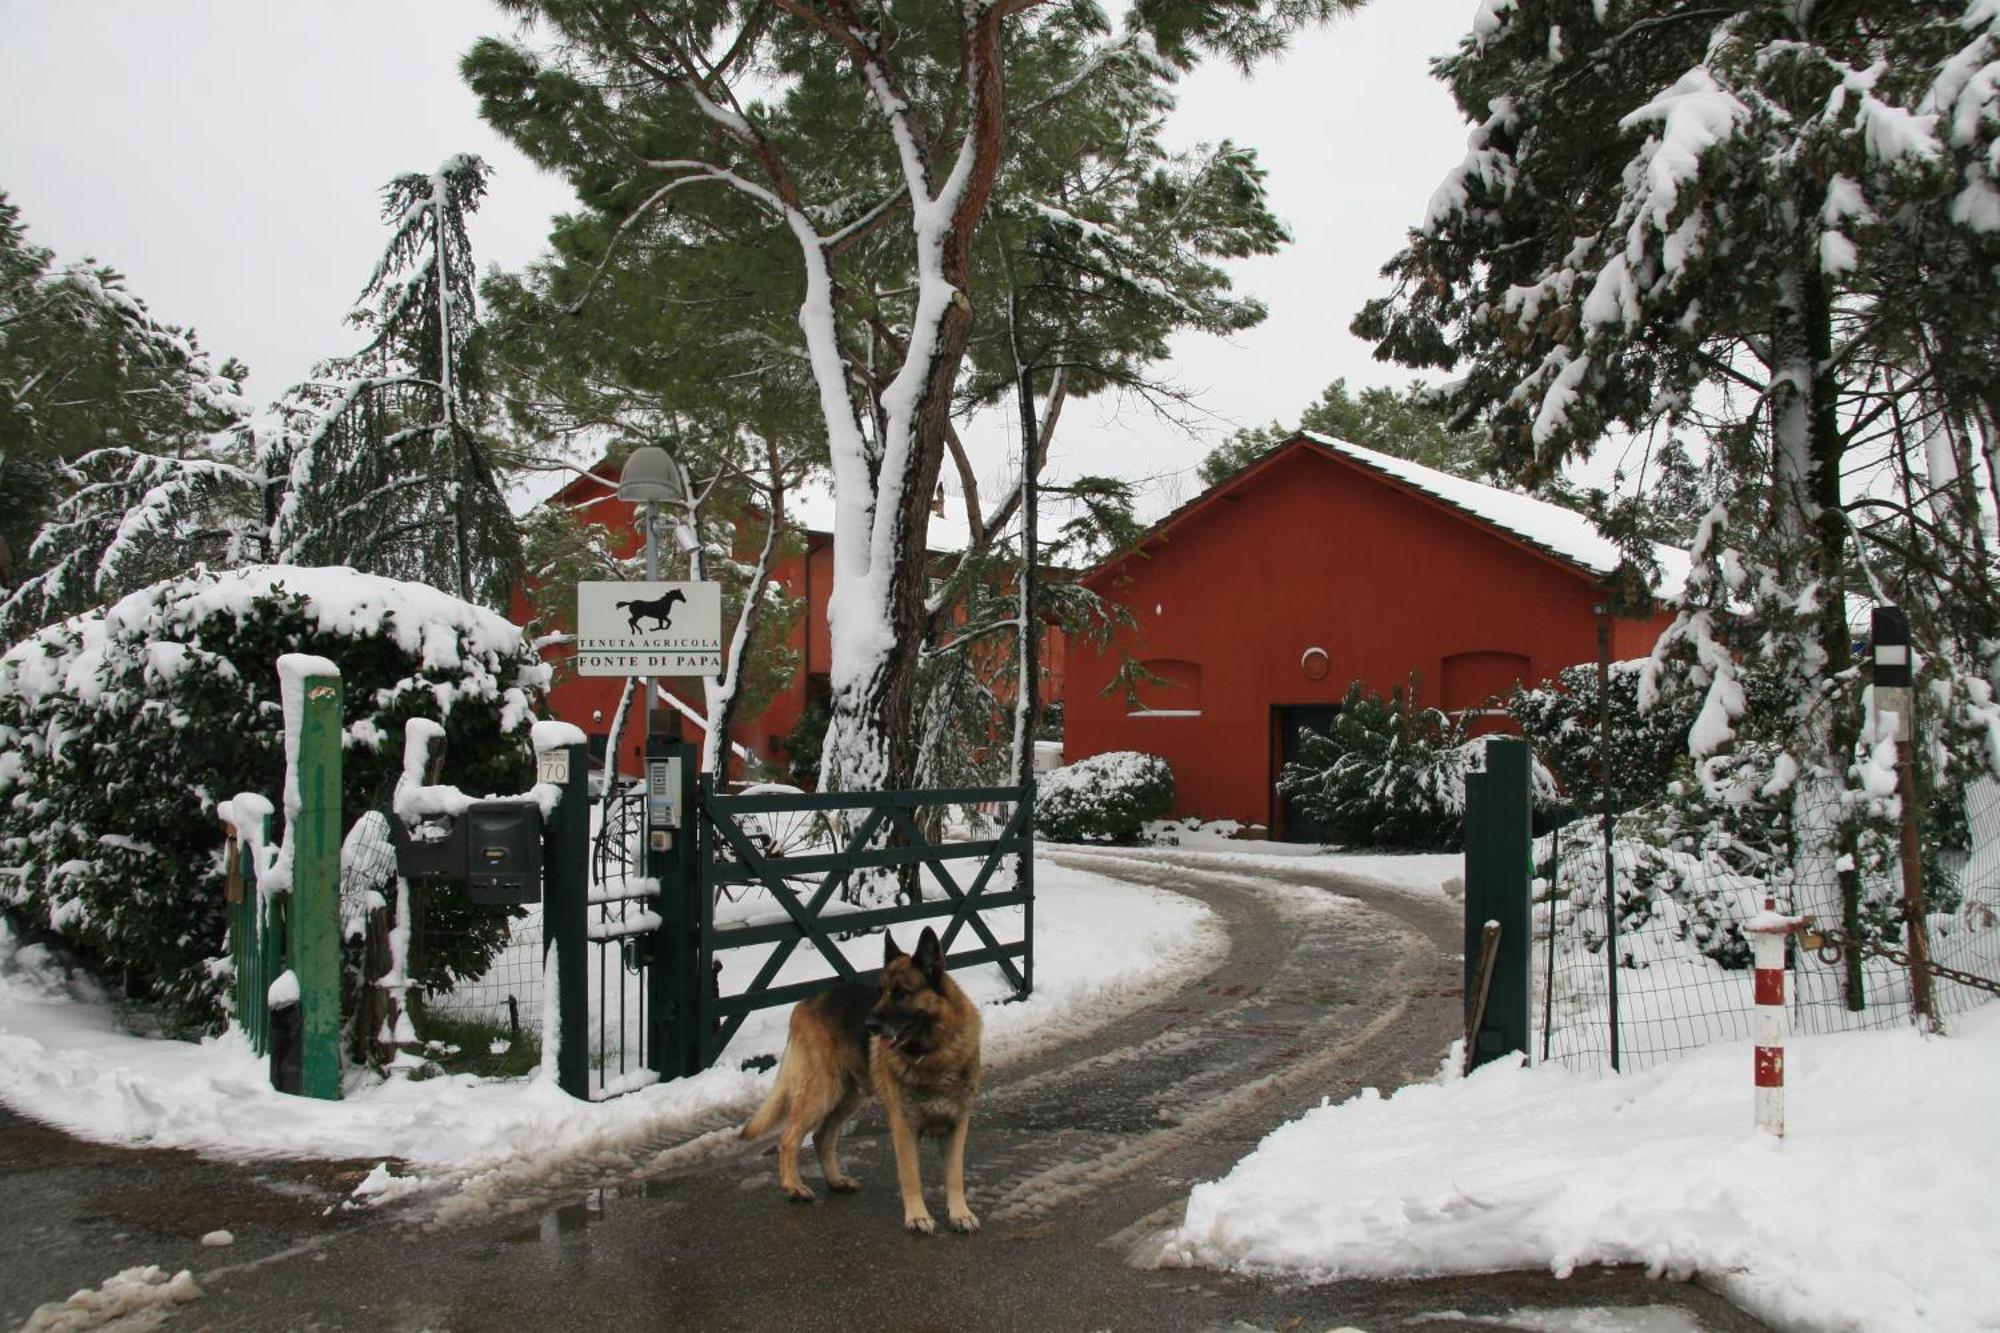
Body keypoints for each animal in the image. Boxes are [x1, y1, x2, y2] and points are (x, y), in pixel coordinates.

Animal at [740, 924, 980, 1224]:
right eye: (880, 992)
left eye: (901, 992)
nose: (869, 1025)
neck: (934, 1051)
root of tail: (806, 1001)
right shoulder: (903, 1126)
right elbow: (911, 1176)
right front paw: (917, 1218)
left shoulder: (957, 1124)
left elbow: (955, 1175)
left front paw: (960, 1213)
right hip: (822, 1093)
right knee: (788, 1138)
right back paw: (793, 1186)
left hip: (848, 1096)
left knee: (821, 1137)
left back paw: (835, 1181)